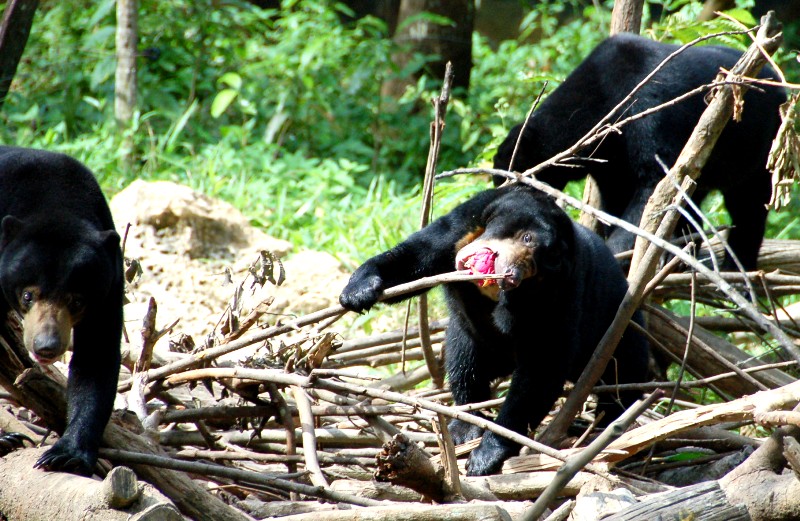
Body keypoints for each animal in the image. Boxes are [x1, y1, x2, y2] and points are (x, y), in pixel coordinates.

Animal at [0, 146, 123, 476]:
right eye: (28, 295)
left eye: (77, 301)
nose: (47, 346)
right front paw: (5, 438)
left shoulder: (109, 282)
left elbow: (97, 355)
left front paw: (66, 455)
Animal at [338, 184, 648, 476]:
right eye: (527, 239)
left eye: (540, 269)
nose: (513, 274)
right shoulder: (466, 220)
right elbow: (416, 257)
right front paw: (359, 290)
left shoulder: (562, 295)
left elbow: (541, 364)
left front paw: (485, 456)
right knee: (464, 361)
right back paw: (464, 426)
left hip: (619, 326)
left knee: (625, 374)